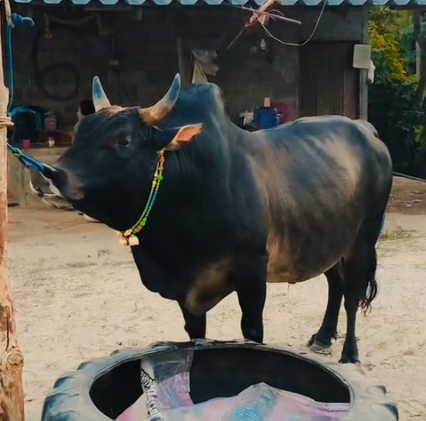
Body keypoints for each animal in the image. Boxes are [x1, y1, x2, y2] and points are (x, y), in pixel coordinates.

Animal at [32, 74, 393, 364]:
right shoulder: (186, 292)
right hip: (325, 236)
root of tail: (367, 130)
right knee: (336, 282)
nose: (47, 174)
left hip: (364, 239)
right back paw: (323, 336)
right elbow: (195, 333)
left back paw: (350, 353)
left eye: (123, 140)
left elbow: (252, 330)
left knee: (352, 293)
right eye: (79, 131)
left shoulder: (252, 271)